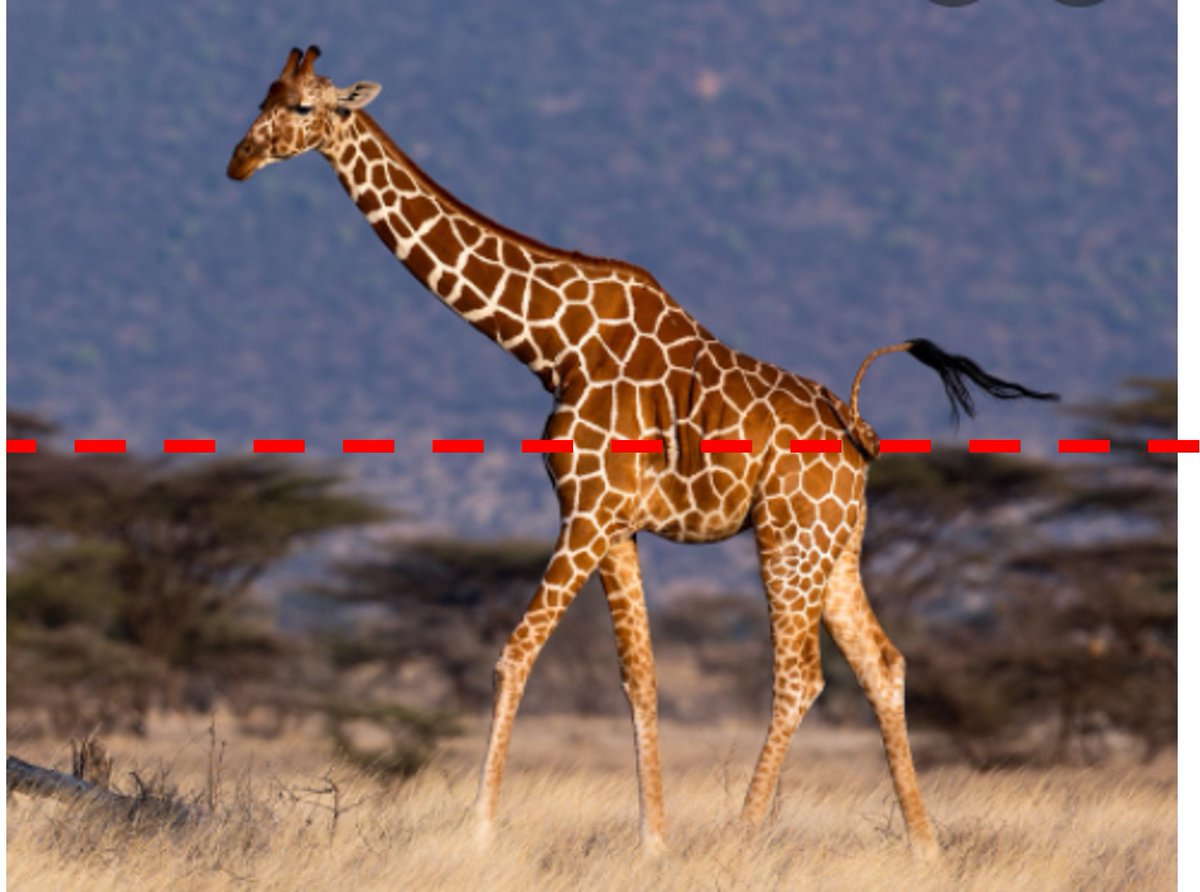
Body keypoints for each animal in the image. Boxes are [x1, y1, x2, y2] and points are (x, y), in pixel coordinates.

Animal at [228, 46, 1057, 859]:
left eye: (303, 106)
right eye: (261, 95)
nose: (239, 160)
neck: (552, 343)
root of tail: (858, 433)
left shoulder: (587, 510)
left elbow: (514, 654)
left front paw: (480, 831)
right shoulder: (615, 523)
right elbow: (640, 678)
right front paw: (652, 840)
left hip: (787, 535)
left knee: (799, 676)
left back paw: (742, 838)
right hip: (836, 542)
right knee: (882, 664)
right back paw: (924, 846)